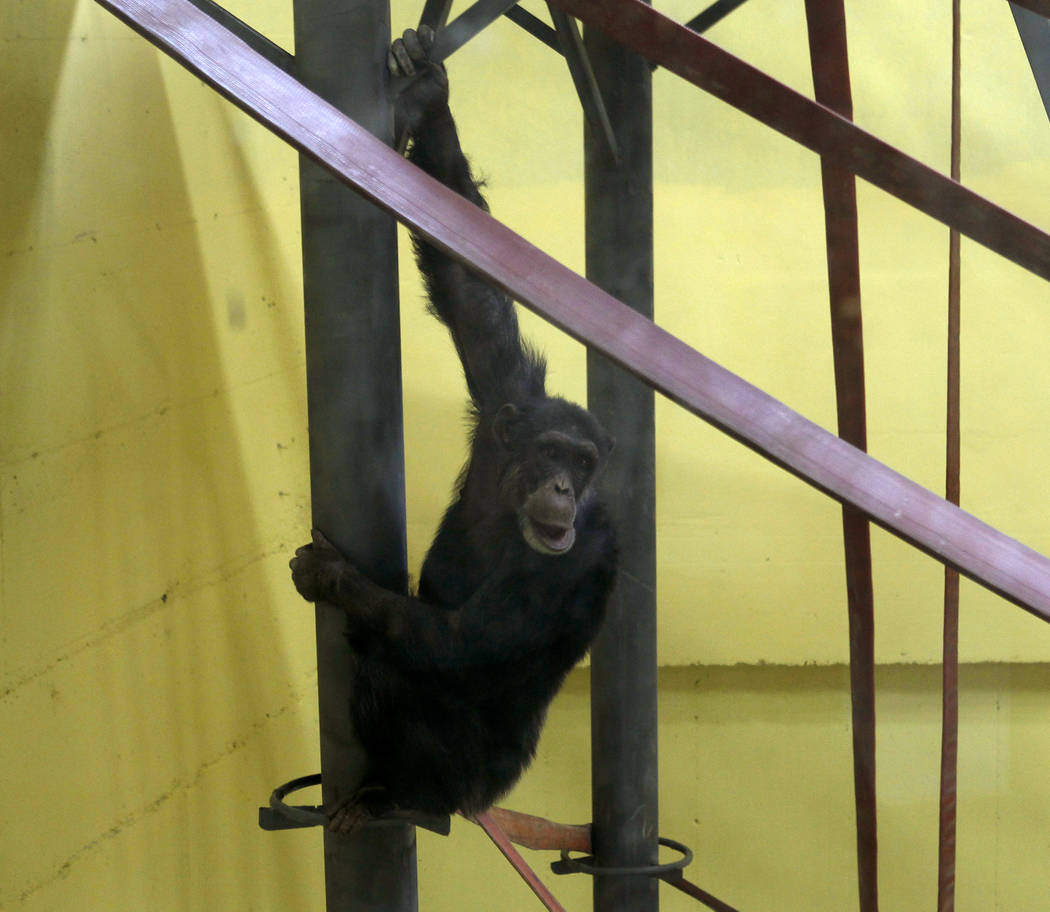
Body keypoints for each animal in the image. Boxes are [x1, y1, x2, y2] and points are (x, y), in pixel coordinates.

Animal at [289, 24, 613, 831]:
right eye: (553, 452)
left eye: (585, 465)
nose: (564, 488)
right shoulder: (505, 397)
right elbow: (472, 294)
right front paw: (429, 89)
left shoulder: (584, 554)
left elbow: (464, 644)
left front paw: (334, 577)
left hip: (467, 778)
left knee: (395, 670)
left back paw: (396, 800)